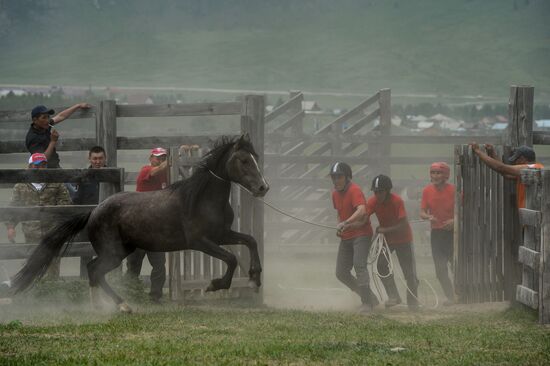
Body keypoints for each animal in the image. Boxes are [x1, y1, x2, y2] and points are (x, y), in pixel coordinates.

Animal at [11, 134, 270, 312]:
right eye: (243, 160)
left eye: (256, 159)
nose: (263, 187)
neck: (202, 198)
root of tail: (94, 211)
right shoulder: (200, 241)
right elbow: (232, 258)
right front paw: (214, 285)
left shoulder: (221, 234)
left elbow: (250, 241)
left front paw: (255, 278)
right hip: (114, 253)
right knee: (95, 270)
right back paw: (121, 306)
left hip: (122, 250)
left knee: (93, 270)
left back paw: (102, 306)